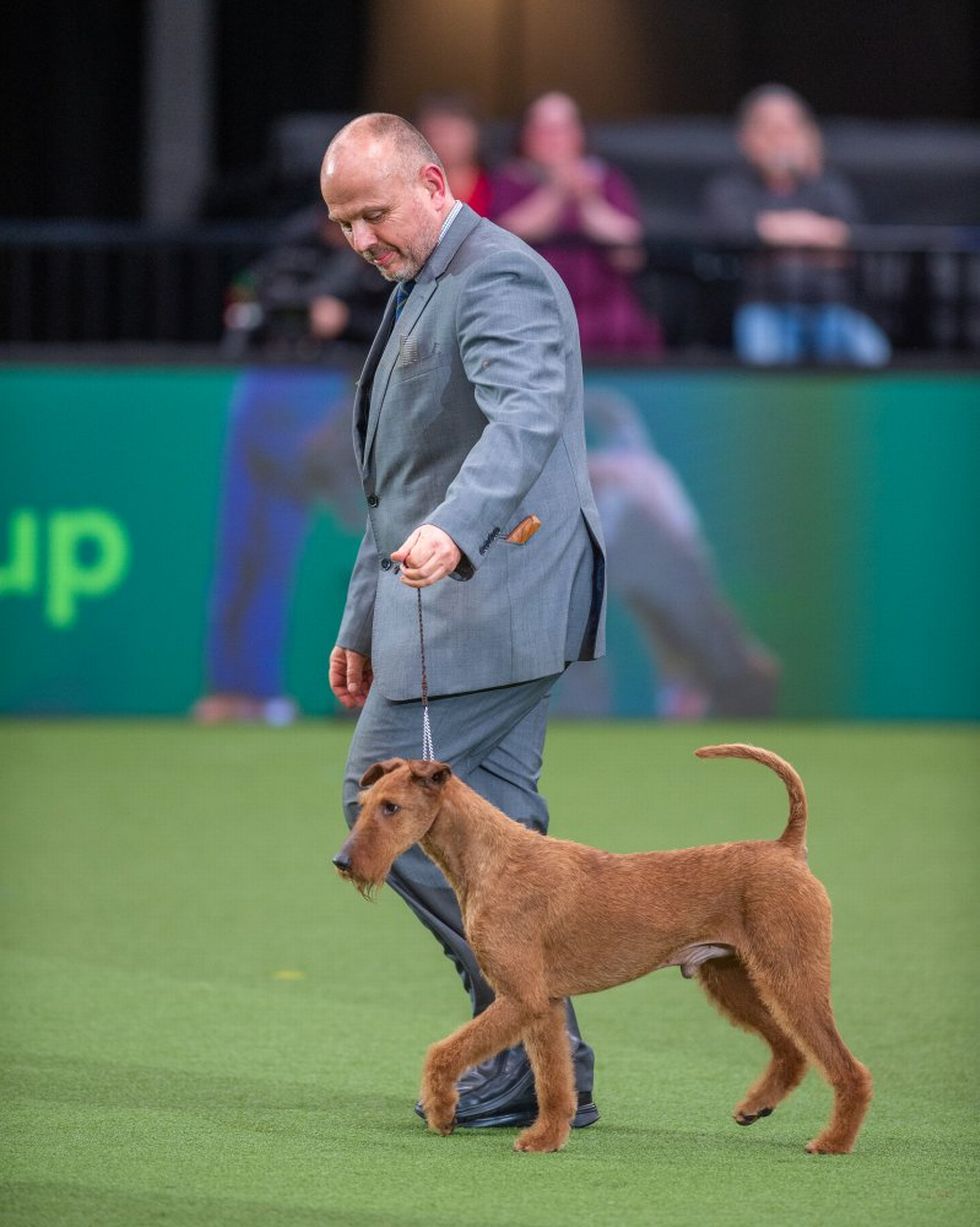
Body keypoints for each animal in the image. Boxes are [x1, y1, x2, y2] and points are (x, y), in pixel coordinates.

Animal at [333, 741, 868, 1153]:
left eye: (391, 807)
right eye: (366, 802)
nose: (342, 861)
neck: (494, 862)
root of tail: (786, 849)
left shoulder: (521, 997)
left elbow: (443, 1053)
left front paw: (443, 1114)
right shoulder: (543, 1004)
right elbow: (554, 1082)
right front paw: (546, 1139)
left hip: (791, 973)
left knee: (848, 1068)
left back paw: (832, 1142)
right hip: (733, 977)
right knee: (791, 1050)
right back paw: (756, 1108)